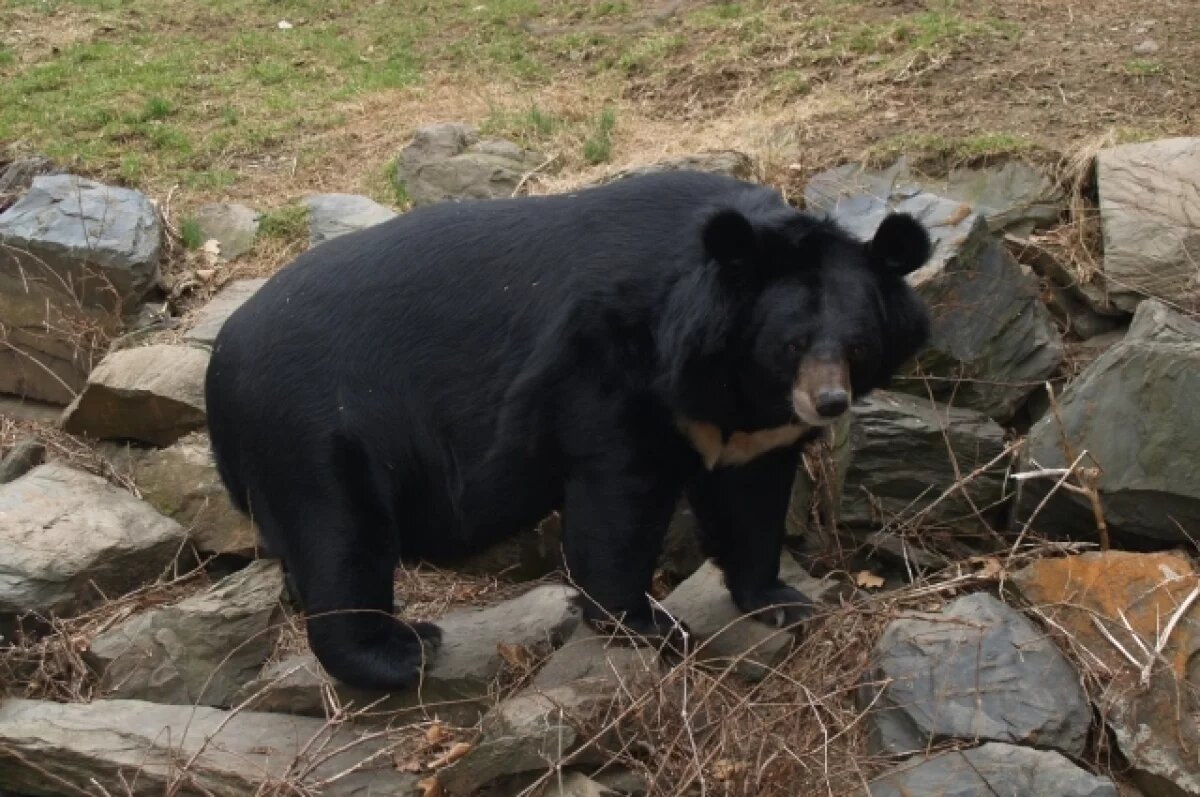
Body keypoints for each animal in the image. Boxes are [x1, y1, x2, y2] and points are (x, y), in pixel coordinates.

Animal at [206, 169, 931, 691]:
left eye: (859, 343)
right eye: (792, 343)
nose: (828, 402)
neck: (727, 376)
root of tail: (220, 357)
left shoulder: (750, 430)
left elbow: (749, 503)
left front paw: (782, 600)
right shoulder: (608, 369)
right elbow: (618, 503)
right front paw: (648, 623)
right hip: (316, 432)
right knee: (341, 540)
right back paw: (402, 651)